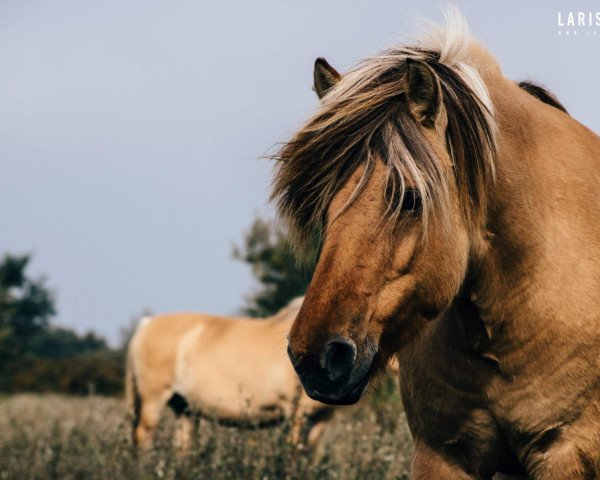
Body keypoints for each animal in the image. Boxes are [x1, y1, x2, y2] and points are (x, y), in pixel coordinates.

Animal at [126, 298, 336, 452]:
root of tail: (145, 325)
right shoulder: (295, 414)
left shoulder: (322, 419)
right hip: (153, 400)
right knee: (144, 437)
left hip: (185, 408)